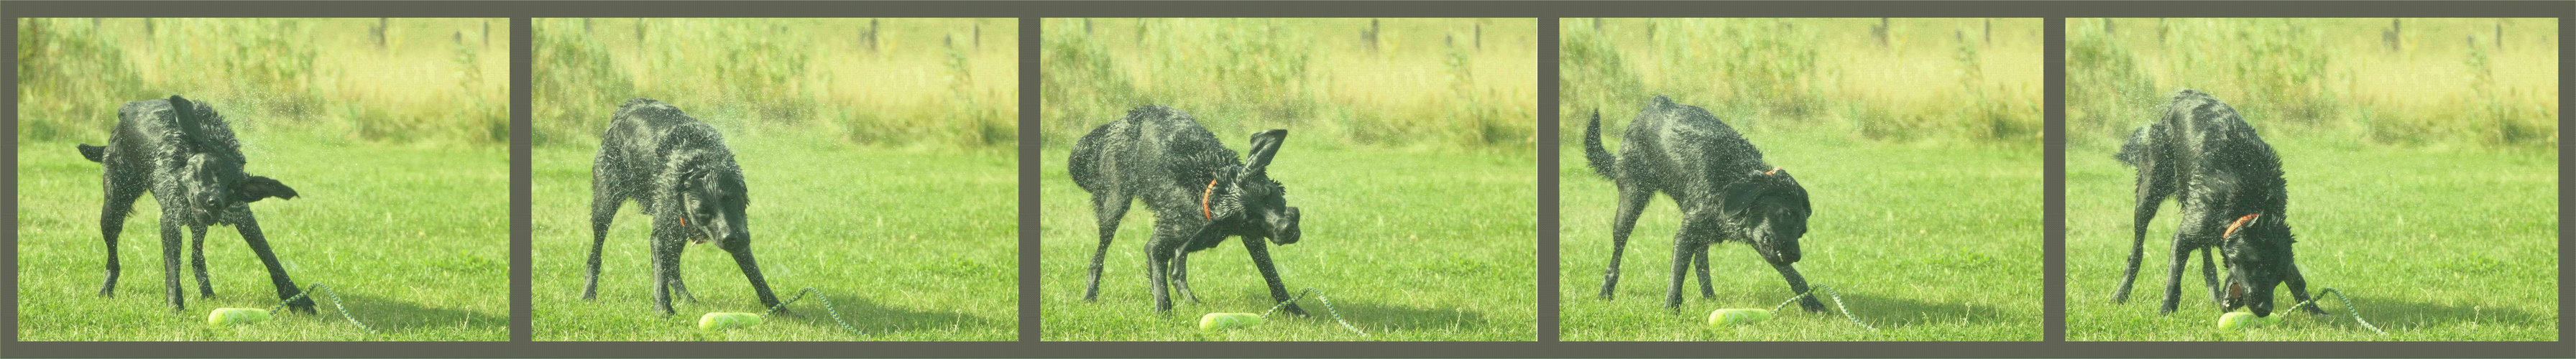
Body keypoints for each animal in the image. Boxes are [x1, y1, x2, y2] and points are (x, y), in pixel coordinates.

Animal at [78, 95, 311, 314]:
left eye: (233, 189)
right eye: (208, 169)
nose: (214, 202)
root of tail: (125, 110)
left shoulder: (241, 215)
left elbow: (269, 256)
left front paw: (297, 298)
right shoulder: (170, 219)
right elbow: (173, 268)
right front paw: (175, 307)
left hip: (198, 226)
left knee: (197, 258)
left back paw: (208, 293)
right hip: (113, 209)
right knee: (113, 258)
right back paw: (106, 290)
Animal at [581, 98, 773, 314]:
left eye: (731, 201)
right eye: (702, 211)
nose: (731, 238)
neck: (697, 163)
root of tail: (628, 107)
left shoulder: (738, 228)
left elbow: (755, 275)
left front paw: (779, 308)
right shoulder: (661, 234)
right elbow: (660, 274)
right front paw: (663, 310)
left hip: (682, 227)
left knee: (673, 269)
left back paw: (688, 299)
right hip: (605, 204)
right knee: (595, 254)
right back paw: (588, 294)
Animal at [1066, 105, 1308, 315]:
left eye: (1269, 193)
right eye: (1248, 218)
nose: (1286, 228)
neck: (1208, 187)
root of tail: (1122, 120)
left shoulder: (1250, 238)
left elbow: (1272, 276)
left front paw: (1296, 311)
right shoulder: (1161, 241)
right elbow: (1159, 278)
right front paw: (1163, 315)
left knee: (1176, 267)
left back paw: (1191, 300)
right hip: (1115, 203)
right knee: (1099, 256)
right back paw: (1090, 296)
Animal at [1566, 95, 1834, 311]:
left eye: (1802, 231)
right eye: (1785, 214)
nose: (1797, 255)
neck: (1732, 178)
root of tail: (1651, 106)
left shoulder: (1757, 239)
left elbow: (1794, 276)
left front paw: (1813, 304)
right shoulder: (1686, 234)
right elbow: (1676, 277)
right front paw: (1670, 311)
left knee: (1701, 260)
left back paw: (1710, 297)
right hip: (1631, 201)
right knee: (1617, 254)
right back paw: (1606, 293)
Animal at [2112, 89, 2339, 317]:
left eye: (2277, 277)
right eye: (2259, 266)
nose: (2265, 310)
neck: (2246, 205)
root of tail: (2186, 95)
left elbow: (2297, 280)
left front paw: (2315, 309)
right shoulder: (2184, 235)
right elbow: (2174, 278)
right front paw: (2166, 311)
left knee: (2206, 258)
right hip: (2150, 190)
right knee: (2137, 249)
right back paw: (2121, 294)